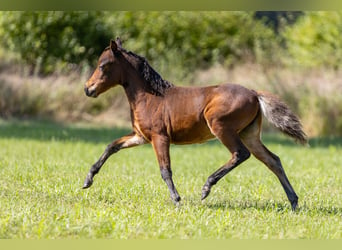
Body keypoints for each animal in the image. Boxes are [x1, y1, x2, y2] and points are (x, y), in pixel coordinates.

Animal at [83, 38, 308, 211]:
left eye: (103, 65)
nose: (87, 88)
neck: (149, 97)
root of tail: (254, 93)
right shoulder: (140, 136)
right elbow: (111, 146)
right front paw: (88, 180)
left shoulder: (159, 137)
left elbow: (165, 170)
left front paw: (176, 200)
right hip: (249, 134)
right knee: (273, 160)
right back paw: (294, 202)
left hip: (221, 127)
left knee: (241, 154)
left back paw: (206, 188)